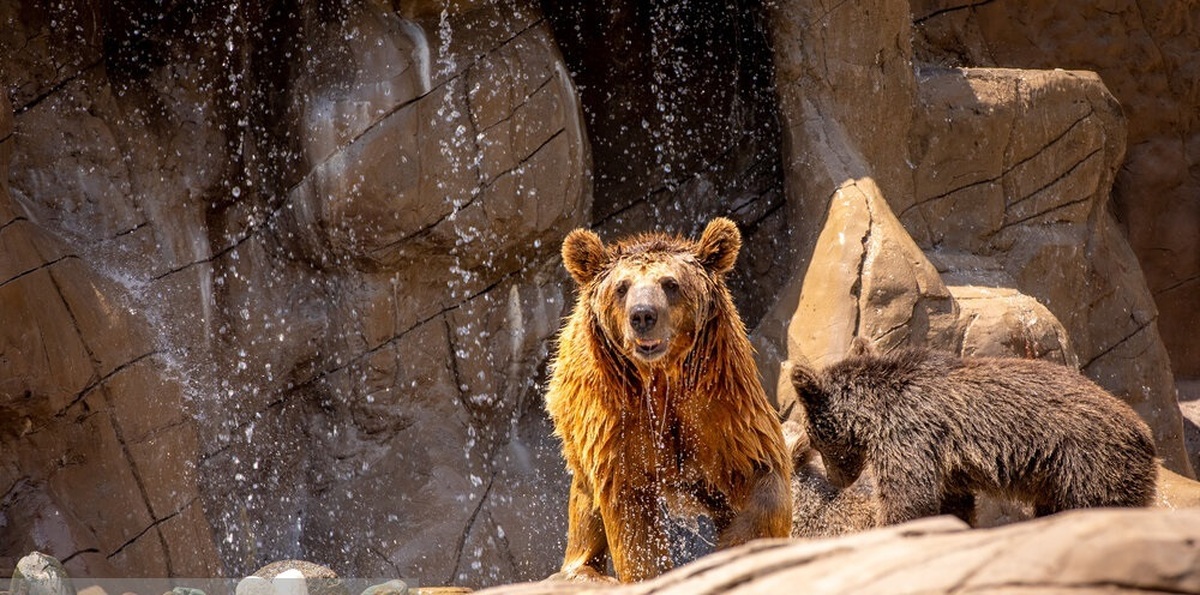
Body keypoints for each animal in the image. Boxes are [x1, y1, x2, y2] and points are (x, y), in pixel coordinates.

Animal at [547, 217, 792, 580]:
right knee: (585, 499)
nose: (642, 315)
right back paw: (581, 569)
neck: (660, 379)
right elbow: (633, 522)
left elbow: (763, 472)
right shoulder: (618, 424)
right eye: (622, 287)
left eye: (670, 283)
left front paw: (733, 547)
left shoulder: (721, 407)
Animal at [792, 335, 1156, 527]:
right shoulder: (947, 466)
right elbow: (953, 503)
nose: (837, 481)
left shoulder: (910, 435)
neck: (875, 413)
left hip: (1090, 466)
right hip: (1057, 481)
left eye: (813, 439)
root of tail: (1145, 433)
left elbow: (908, 498)